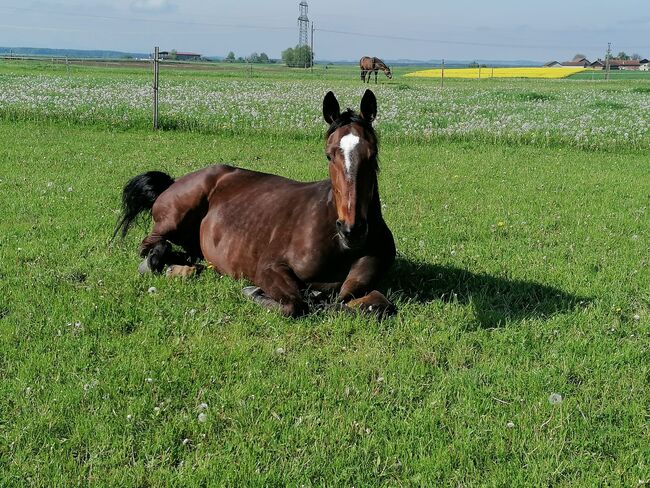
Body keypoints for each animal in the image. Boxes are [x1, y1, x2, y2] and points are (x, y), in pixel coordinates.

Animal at [114, 89, 394, 318]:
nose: (351, 229)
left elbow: (375, 304)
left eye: (372, 154)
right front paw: (254, 291)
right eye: (329, 155)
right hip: (172, 220)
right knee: (151, 246)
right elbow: (294, 305)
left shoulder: (361, 287)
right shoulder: (270, 268)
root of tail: (174, 181)